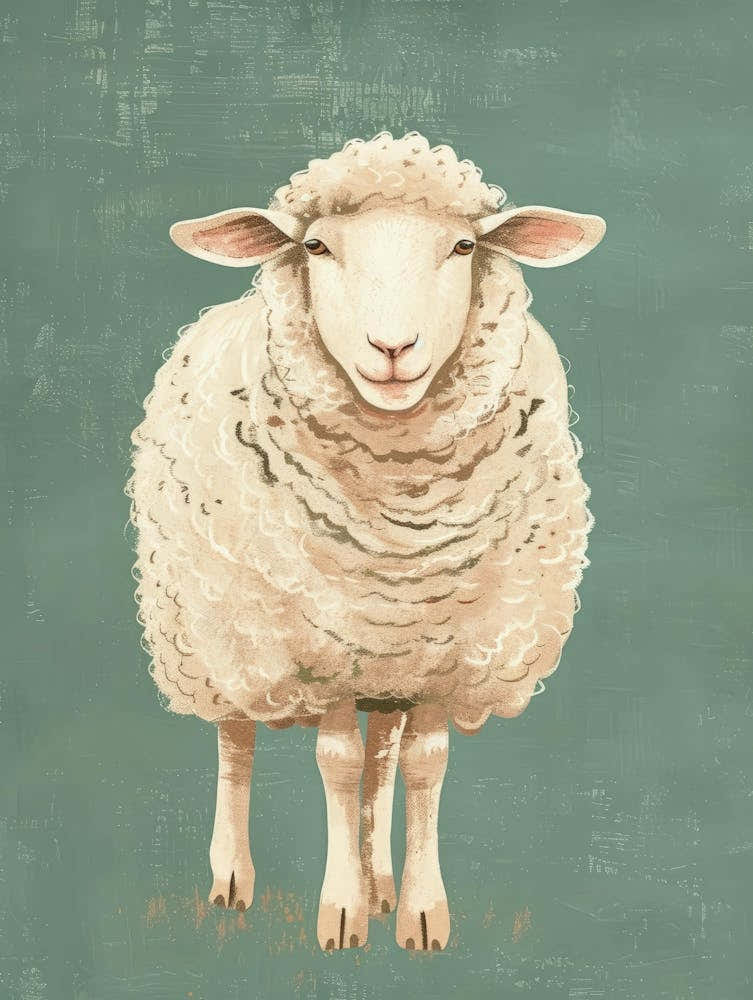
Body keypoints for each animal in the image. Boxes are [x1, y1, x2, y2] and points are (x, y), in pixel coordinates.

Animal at [127, 131, 605, 952]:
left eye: (464, 245)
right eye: (316, 245)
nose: (392, 347)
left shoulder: (446, 652)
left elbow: (422, 764)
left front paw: (418, 911)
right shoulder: (319, 648)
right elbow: (337, 762)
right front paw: (341, 912)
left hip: (382, 662)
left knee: (384, 751)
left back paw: (382, 881)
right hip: (215, 630)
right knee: (236, 741)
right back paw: (233, 879)